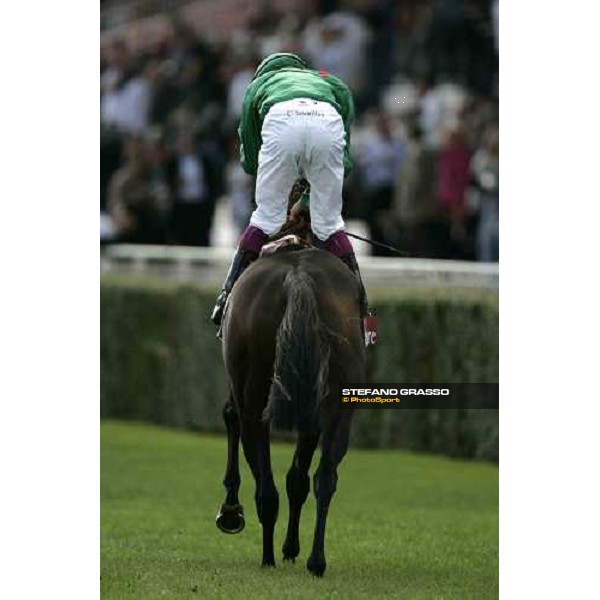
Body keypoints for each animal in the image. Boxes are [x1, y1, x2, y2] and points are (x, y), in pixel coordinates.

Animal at [214, 220, 366, 576]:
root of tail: (298, 277)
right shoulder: (312, 410)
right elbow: (298, 479)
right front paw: (292, 548)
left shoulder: (240, 393)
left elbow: (230, 417)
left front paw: (231, 511)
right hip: (340, 400)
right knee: (325, 477)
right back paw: (316, 560)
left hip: (255, 393)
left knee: (266, 488)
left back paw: (268, 557)